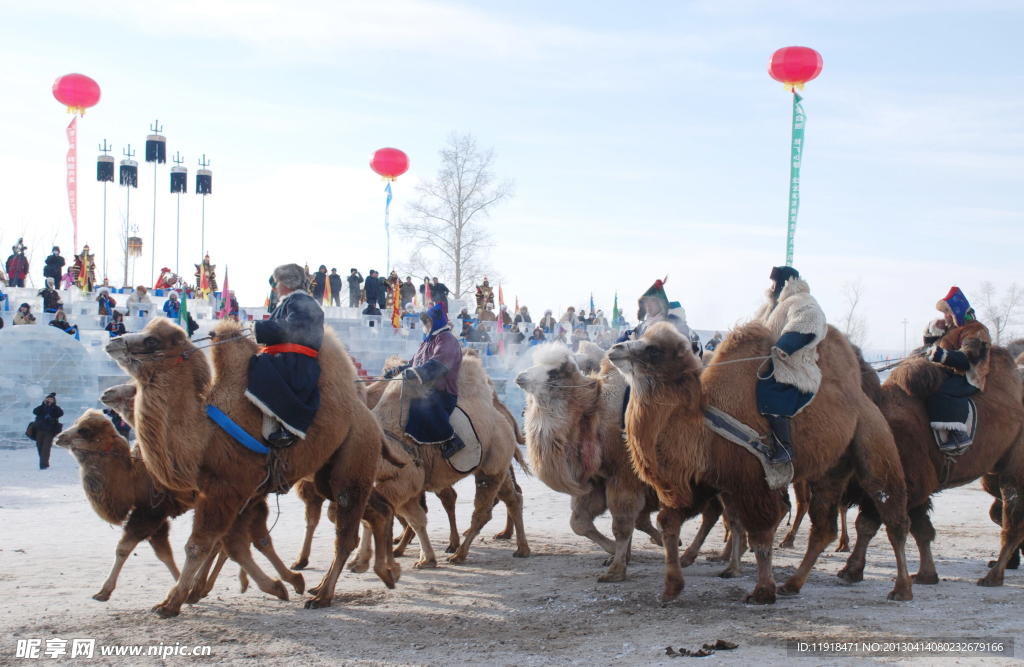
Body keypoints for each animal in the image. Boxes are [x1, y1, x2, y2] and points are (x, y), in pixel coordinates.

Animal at [104, 321, 391, 618]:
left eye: (152, 340)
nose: (113, 341)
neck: (206, 436)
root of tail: (370, 419)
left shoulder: (226, 487)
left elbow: (199, 545)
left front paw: (170, 603)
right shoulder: (239, 494)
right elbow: (232, 544)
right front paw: (278, 585)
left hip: (353, 460)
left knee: (346, 534)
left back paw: (324, 595)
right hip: (327, 475)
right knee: (376, 511)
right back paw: (375, 574)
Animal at [348, 346, 532, 569]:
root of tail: (504, 417)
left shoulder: (405, 479)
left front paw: (362, 560)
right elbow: (409, 517)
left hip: (491, 467)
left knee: (483, 510)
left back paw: (459, 553)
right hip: (497, 466)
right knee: (513, 498)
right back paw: (521, 548)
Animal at [516, 346, 659, 581]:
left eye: (553, 373)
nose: (521, 376)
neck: (594, 417)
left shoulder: (624, 477)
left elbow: (622, 525)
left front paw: (615, 571)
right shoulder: (597, 480)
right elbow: (579, 522)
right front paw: (618, 555)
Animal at [606, 321, 913, 606]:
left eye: (653, 349)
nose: (614, 349)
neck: (702, 430)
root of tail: (862, 394)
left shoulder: (752, 483)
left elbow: (761, 534)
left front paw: (762, 592)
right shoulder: (701, 483)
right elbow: (668, 522)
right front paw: (671, 587)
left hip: (873, 440)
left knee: (893, 514)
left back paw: (901, 588)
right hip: (831, 470)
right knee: (824, 527)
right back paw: (793, 584)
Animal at [835, 350, 1024, 590]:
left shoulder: (903, 483)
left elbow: (867, 524)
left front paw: (850, 570)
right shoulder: (913, 490)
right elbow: (921, 530)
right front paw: (927, 575)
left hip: (1015, 464)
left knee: (1012, 519)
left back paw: (993, 576)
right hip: (994, 470)